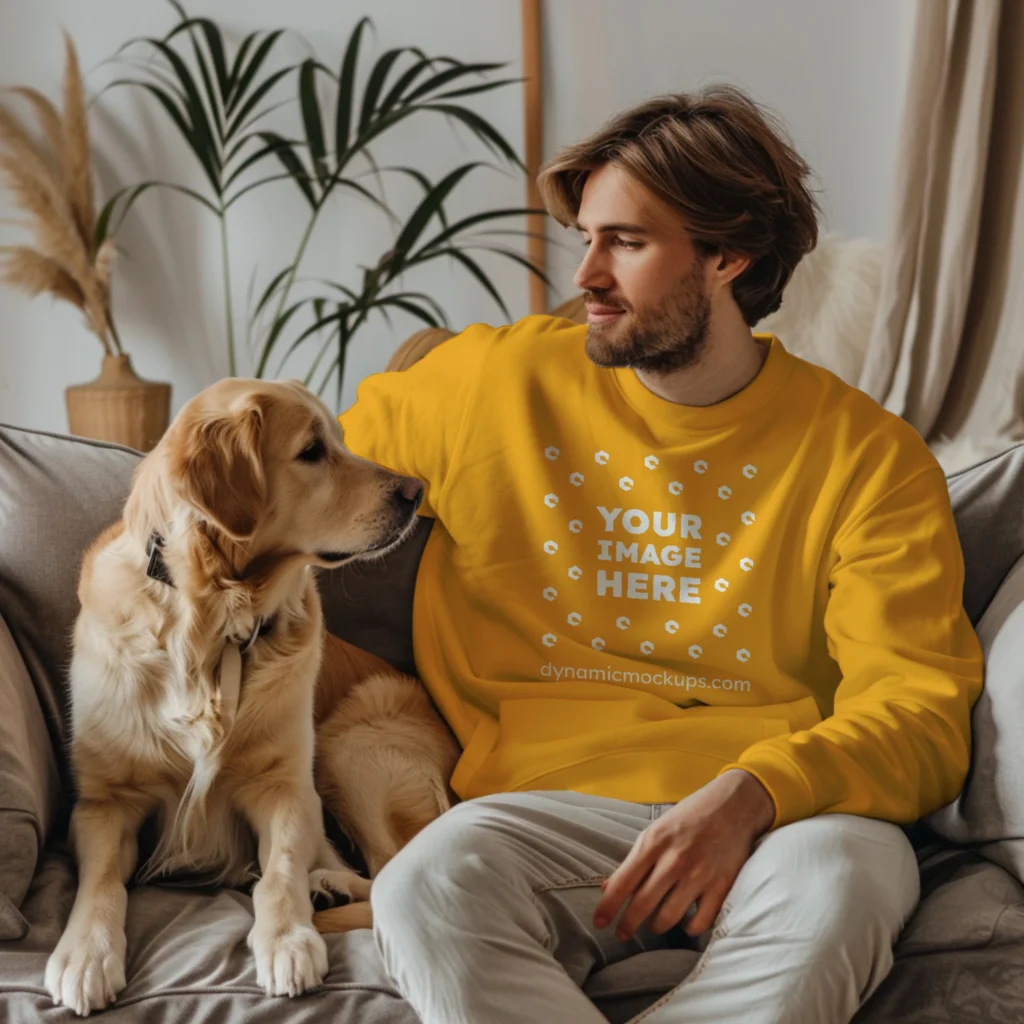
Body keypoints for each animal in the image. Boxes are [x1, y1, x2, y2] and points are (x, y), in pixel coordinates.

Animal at [47, 378, 456, 1015]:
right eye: (312, 451)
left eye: (341, 439)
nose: (417, 493)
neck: (211, 624)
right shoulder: (104, 802)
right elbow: (102, 882)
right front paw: (85, 954)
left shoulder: (286, 787)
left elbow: (280, 871)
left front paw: (287, 939)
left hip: (348, 746)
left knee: (389, 872)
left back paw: (328, 888)